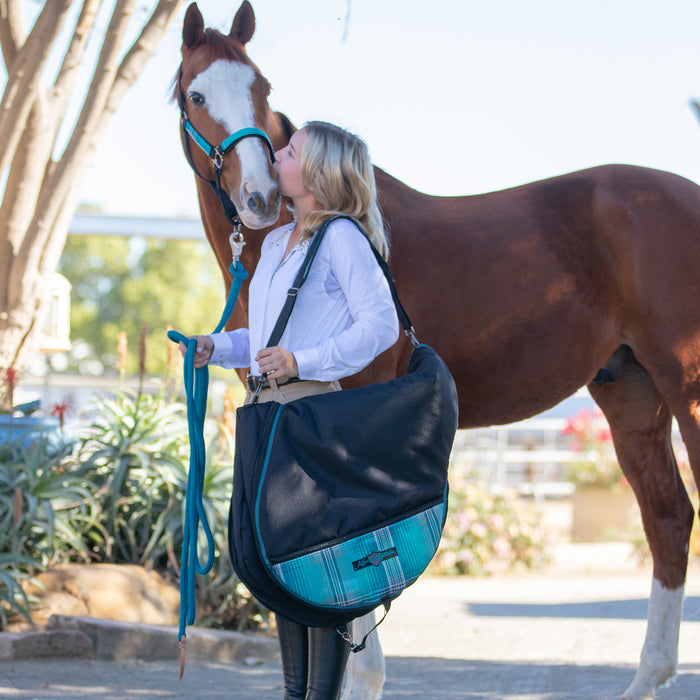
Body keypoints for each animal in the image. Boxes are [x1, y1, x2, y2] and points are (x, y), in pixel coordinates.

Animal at [175, 2, 700, 696]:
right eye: (197, 93)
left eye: (262, 87)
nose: (261, 196)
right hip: (633, 393)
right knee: (668, 518)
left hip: (688, 388)